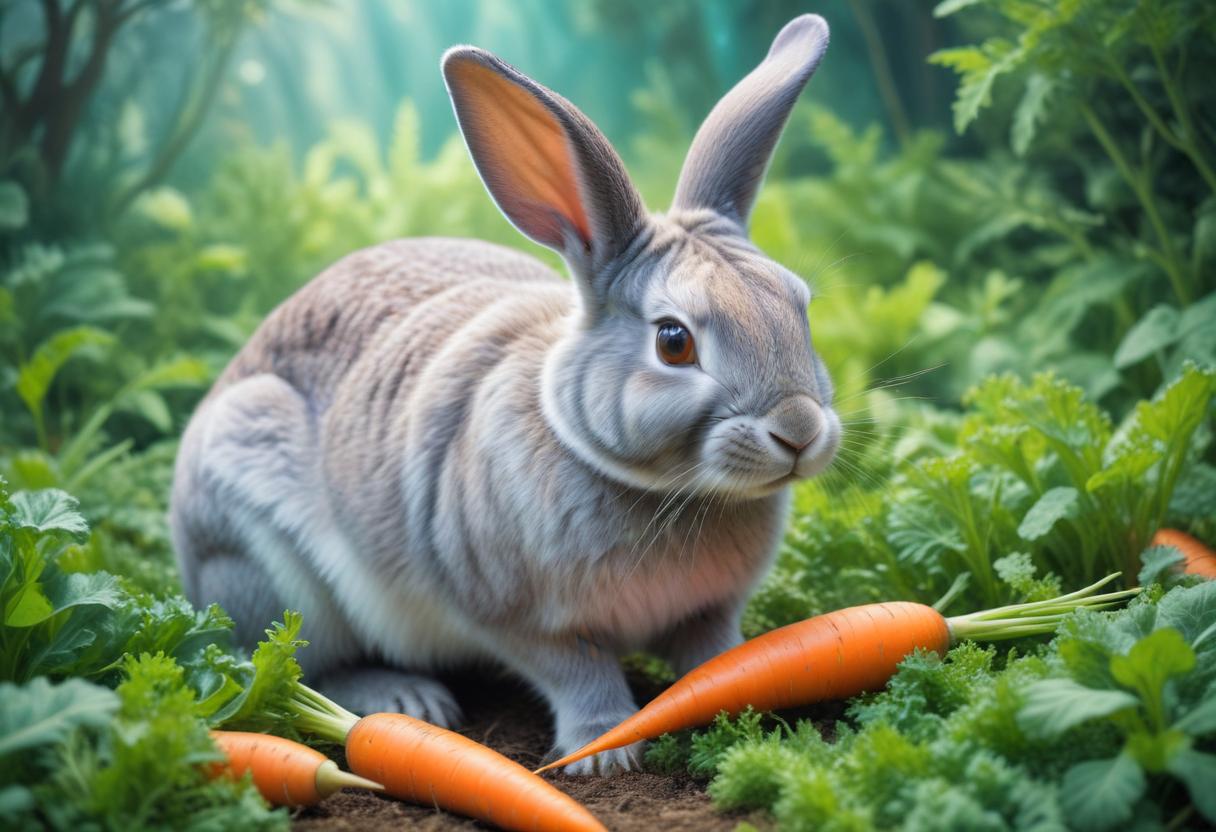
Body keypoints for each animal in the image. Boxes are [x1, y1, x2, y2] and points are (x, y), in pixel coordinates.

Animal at [170, 13, 839, 774]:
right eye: (674, 341)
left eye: (799, 304)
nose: (799, 429)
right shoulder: (509, 613)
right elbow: (575, 670)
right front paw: (602, 753)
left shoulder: (711, 610)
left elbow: (717, 656)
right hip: (268, 569)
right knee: (304, 664)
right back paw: (410, 699)